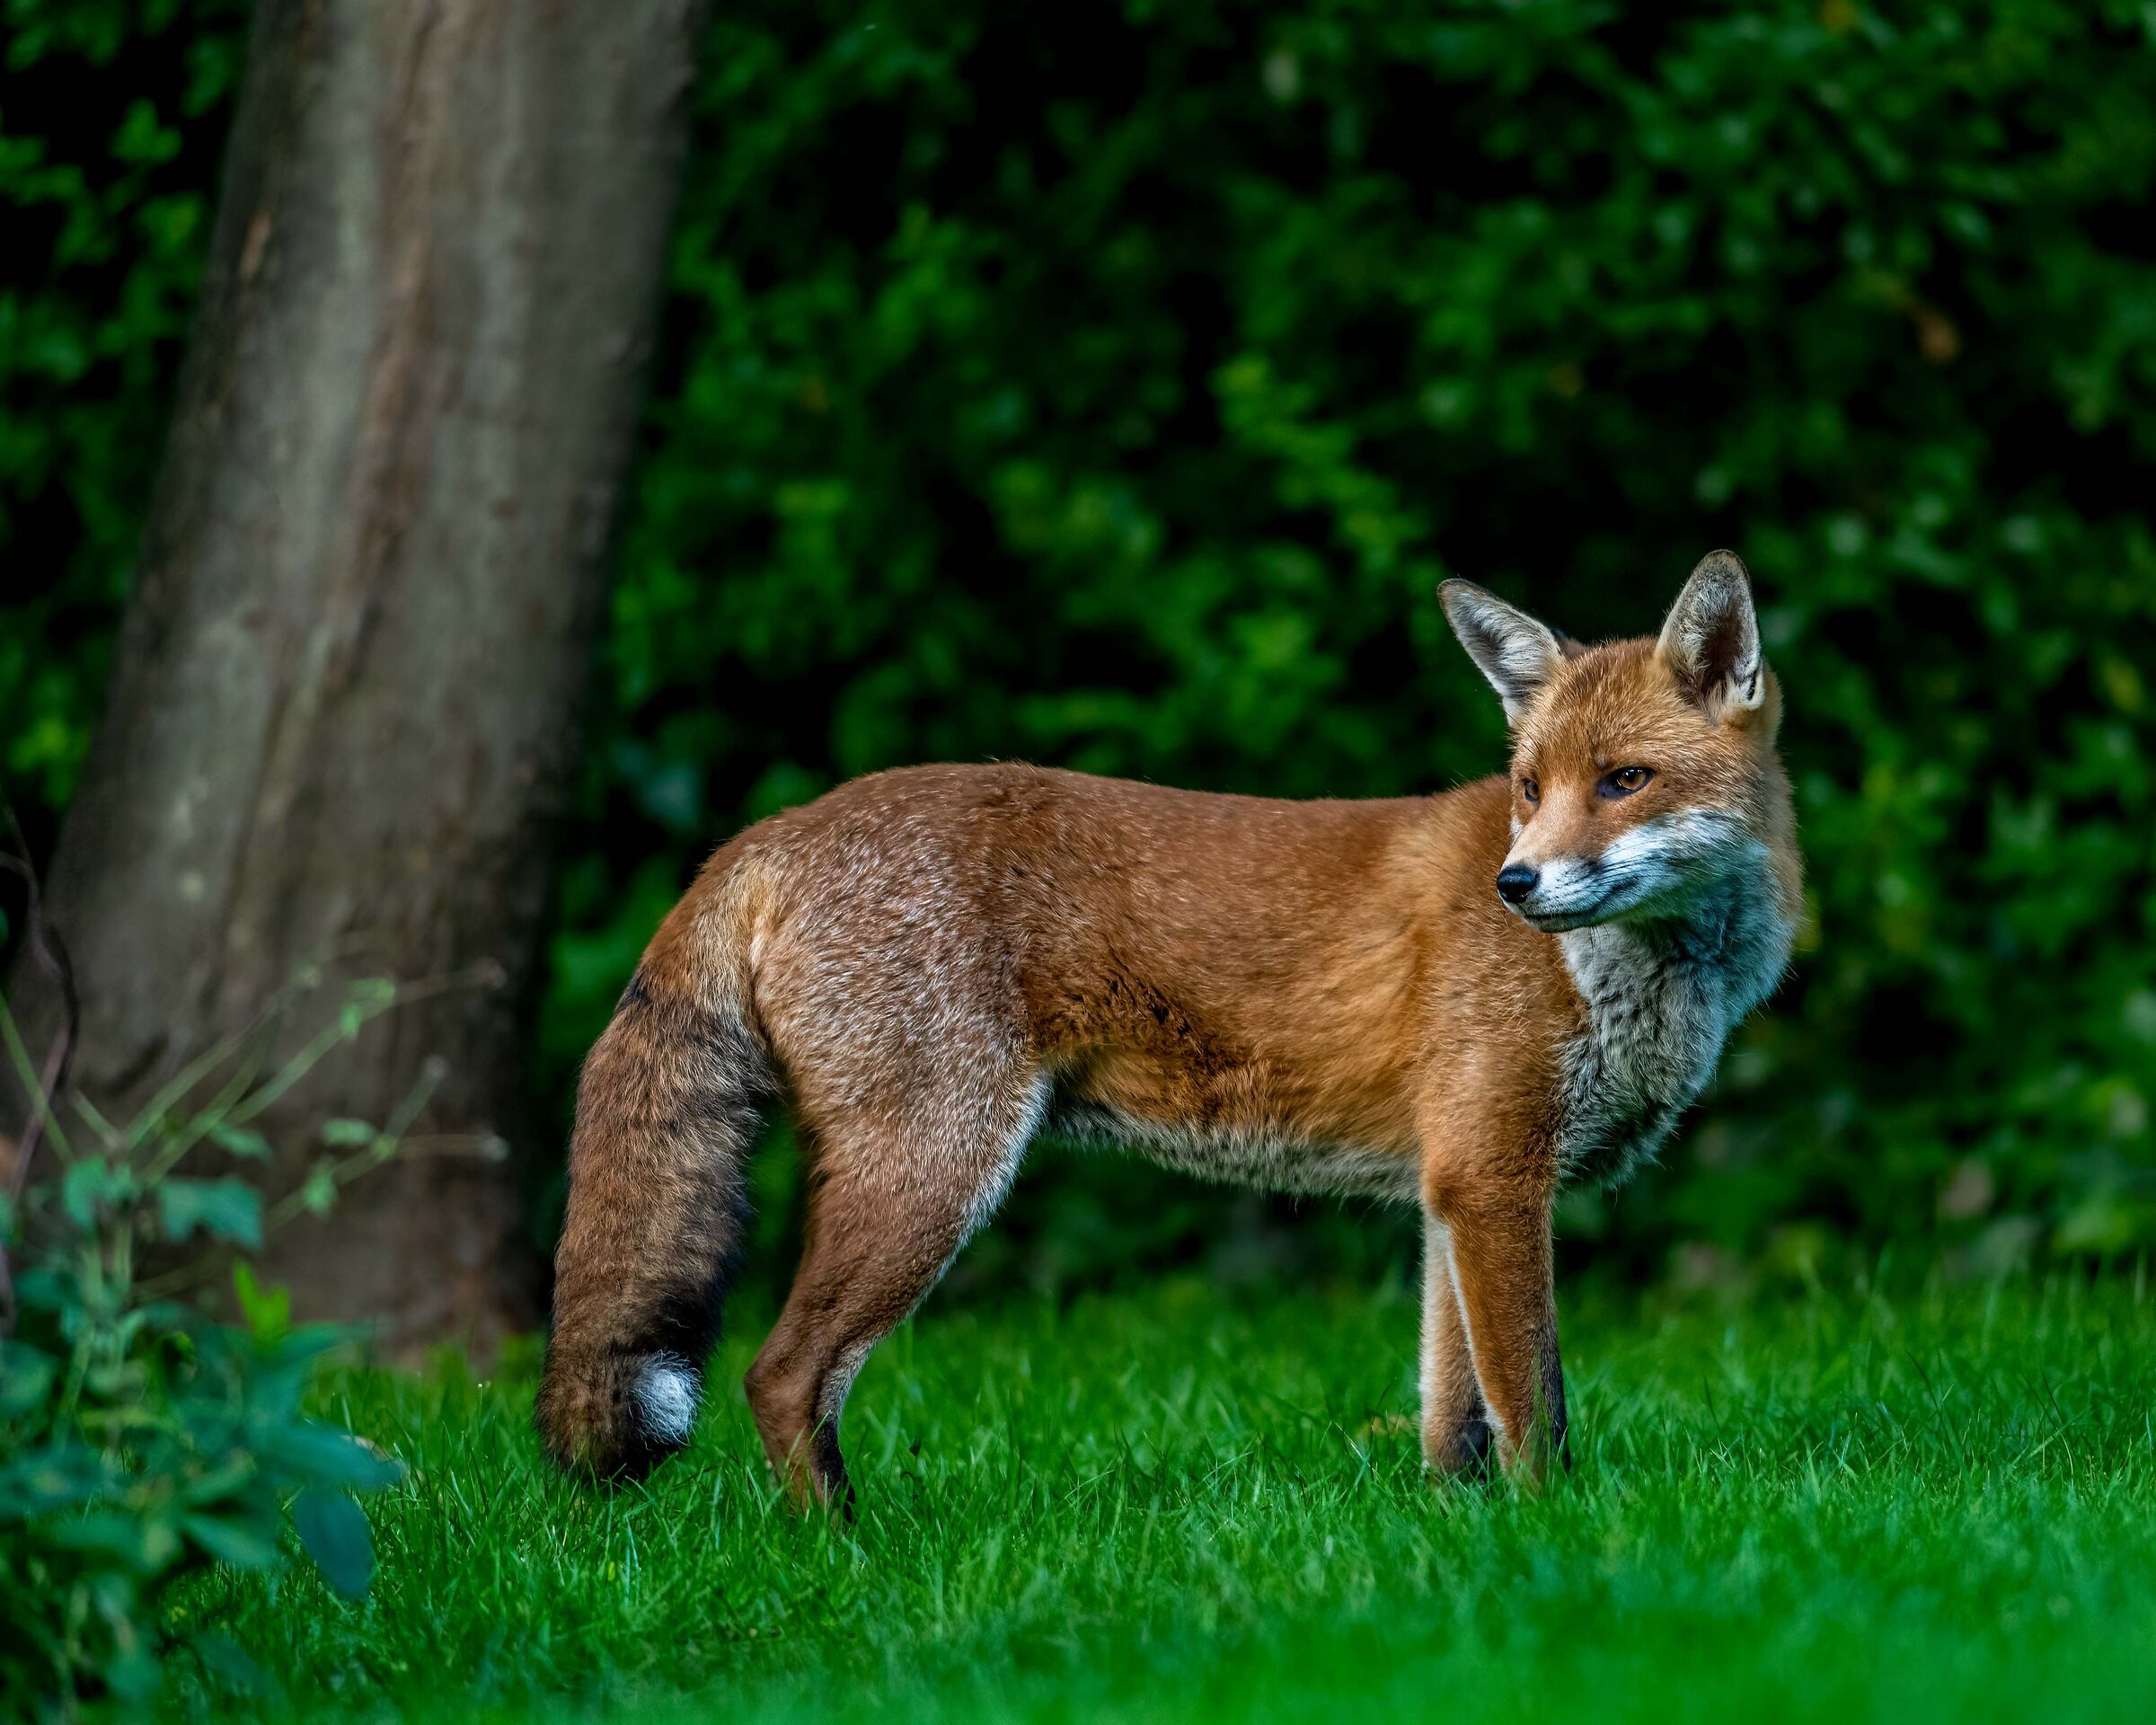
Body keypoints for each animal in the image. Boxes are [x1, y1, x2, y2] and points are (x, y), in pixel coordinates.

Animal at [536, 550, 1801, 1500]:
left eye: (1625, 781)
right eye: (1532, 790)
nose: (1516, 885)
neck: (1629, 984)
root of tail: (771, 830)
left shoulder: (1454, 1188)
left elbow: (1455, 1420)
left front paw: (1461, 1543)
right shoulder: (1495, 1181)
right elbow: (1535, 1409)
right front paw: (1556, 1537)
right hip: (934, 1175)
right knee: (782, 1374)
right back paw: (847, 1552)